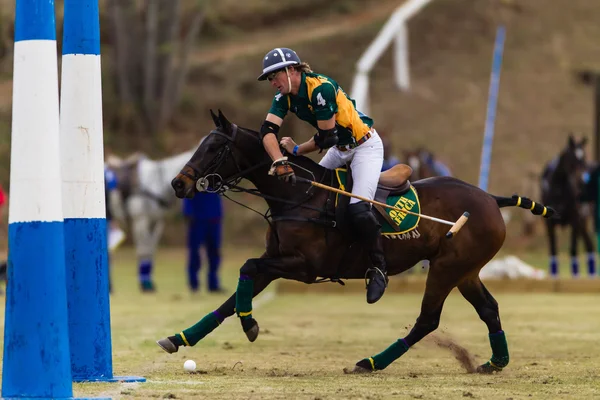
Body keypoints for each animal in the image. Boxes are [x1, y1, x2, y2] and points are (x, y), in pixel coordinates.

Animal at [106, 147, 193, 290]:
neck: (157, 183)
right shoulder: (141, 221)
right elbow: (143, 250)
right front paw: (145, 284)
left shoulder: (157, 221)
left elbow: (151, 250)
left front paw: (148, 281)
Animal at [157, 110, 556, 376]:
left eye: (214, 148)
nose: (178, 184)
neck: (297, 193)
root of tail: (490, 198)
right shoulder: (278, 259)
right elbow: (231, 297)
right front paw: (180, 338)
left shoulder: (304, 266)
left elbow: (247, 266)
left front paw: (249, 325)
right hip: (466, 270)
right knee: (488, 308)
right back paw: (495, 361)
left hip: (447, 267)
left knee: (428, 319)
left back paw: (371, 361)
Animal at [540, 134, 596, 278]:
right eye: (572, 158)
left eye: (584, 157)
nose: (583, 181)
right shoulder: (549, 223)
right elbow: (553, 250)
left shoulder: (575, 220)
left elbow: (573, 249)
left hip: (583, 220)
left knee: (589, 246)